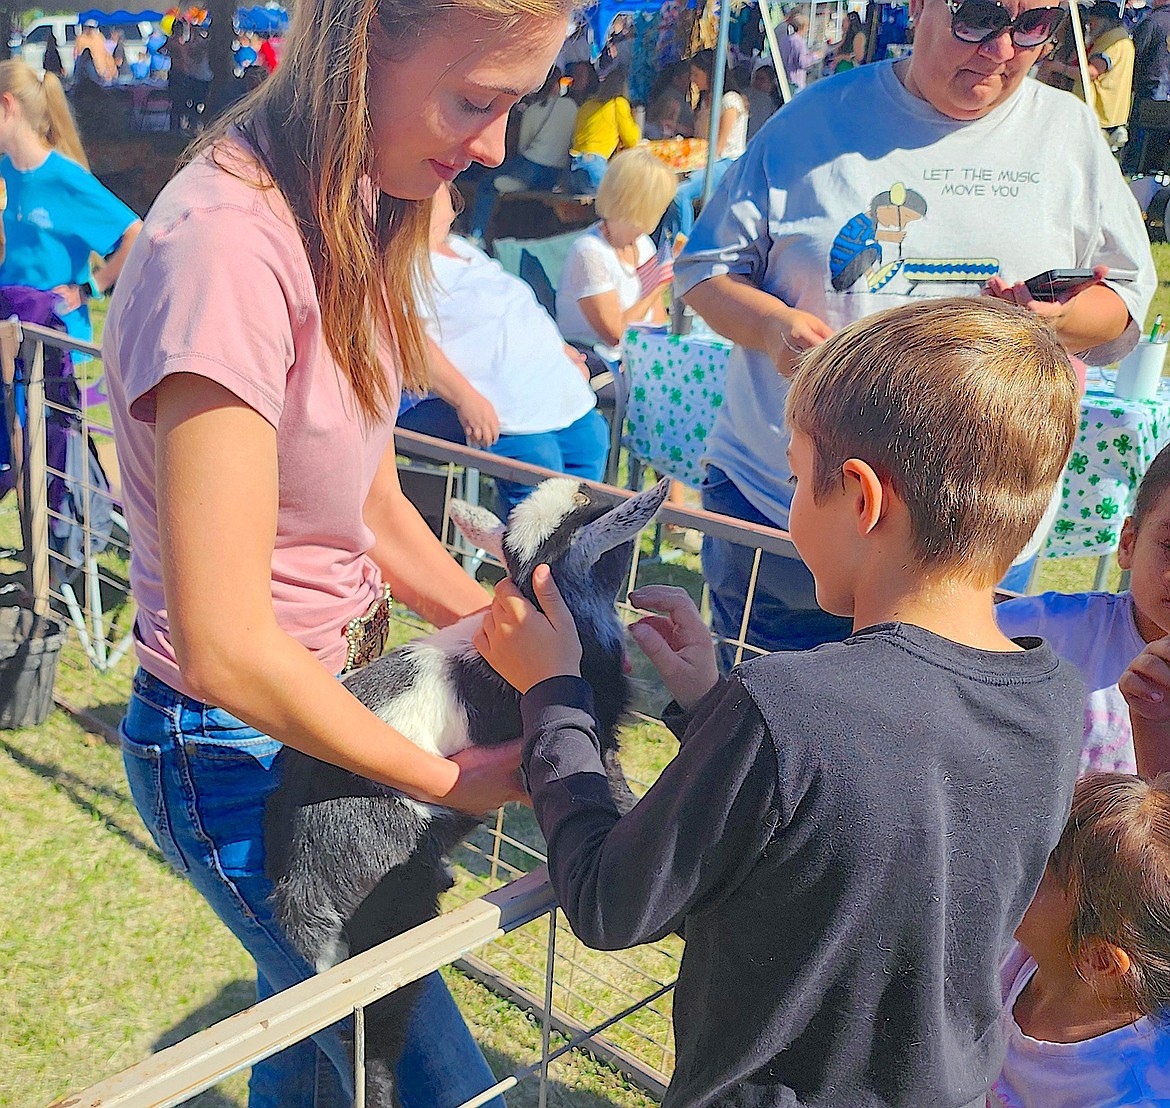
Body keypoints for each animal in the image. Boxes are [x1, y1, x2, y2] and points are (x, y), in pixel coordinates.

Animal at [263, 475, 669, 1099]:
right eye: (586, 507)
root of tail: (302, 877)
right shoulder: (593, 733)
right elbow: (611, 787)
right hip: (388, 913)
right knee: (376, 1033)